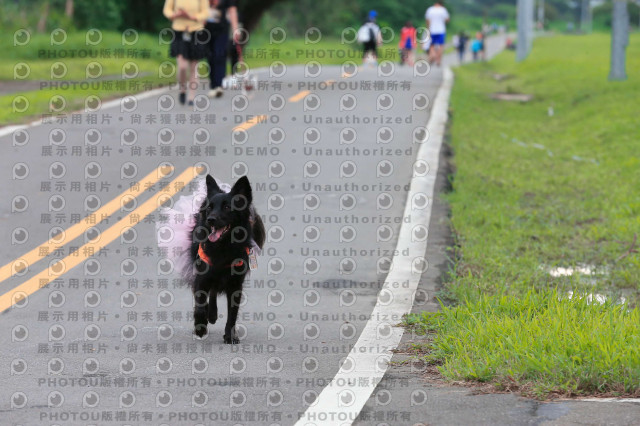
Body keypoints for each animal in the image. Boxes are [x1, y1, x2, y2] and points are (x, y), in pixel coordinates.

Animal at [188, 175, 264, 344]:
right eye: (210, 208)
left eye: (228, 207)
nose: (210, 219)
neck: (223, 246)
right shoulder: (202, 277)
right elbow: (200, 305)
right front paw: (200, 328)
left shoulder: (235, 285)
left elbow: (232, 314)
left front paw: (230, 336)